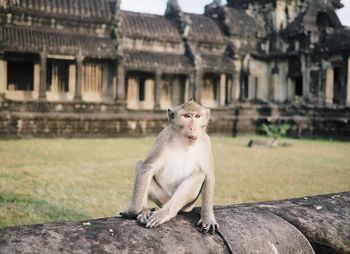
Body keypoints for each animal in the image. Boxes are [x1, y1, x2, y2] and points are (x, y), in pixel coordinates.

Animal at [121, 98, 219, 232]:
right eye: (187, 116)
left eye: (197, 116)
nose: (193, 128)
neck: (184, 141)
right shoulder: (163, 137)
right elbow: (146, 169)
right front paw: (133, 212)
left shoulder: (205, 141)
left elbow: (208, 174)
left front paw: (208, 218)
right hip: (162, 197)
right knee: (140, 165)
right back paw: (145, 210)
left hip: (186, 205)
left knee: (200, 174)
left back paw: (165, 213)